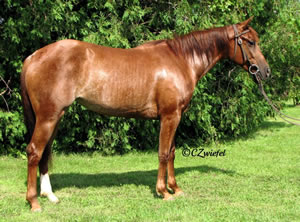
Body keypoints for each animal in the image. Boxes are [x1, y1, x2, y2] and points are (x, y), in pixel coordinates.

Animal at [21, 16, 270, 210]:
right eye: (250, 42)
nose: (266, 72)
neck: (180, 60)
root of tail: (33, 57)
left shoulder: (175, 117)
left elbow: (171, 153)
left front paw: (175, 188)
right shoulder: (169, 116)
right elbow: (163, 153)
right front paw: (164, 192)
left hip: (54, 118)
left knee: (45, 152)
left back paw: (50, 196)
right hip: (48, 118)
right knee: (34, 152)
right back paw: (34, 202)